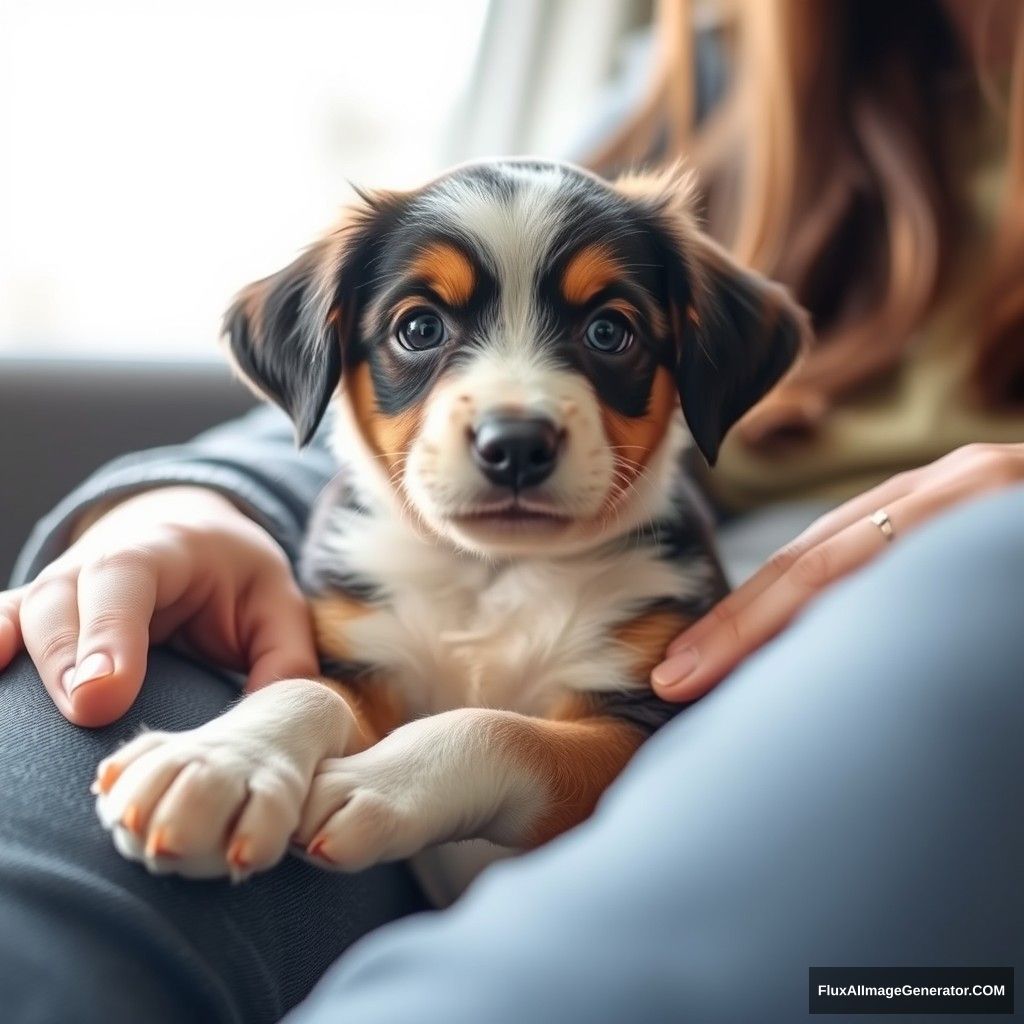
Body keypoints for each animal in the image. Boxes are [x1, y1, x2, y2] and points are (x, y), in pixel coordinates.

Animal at [92, 159, 802, 905]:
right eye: (420, 328)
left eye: (609, 332)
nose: (515, 445)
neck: (489, 572)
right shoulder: (357, 656)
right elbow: (307, 688)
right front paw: (216, 762)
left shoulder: (639, 719)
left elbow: (505, 730)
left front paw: (375, 783)